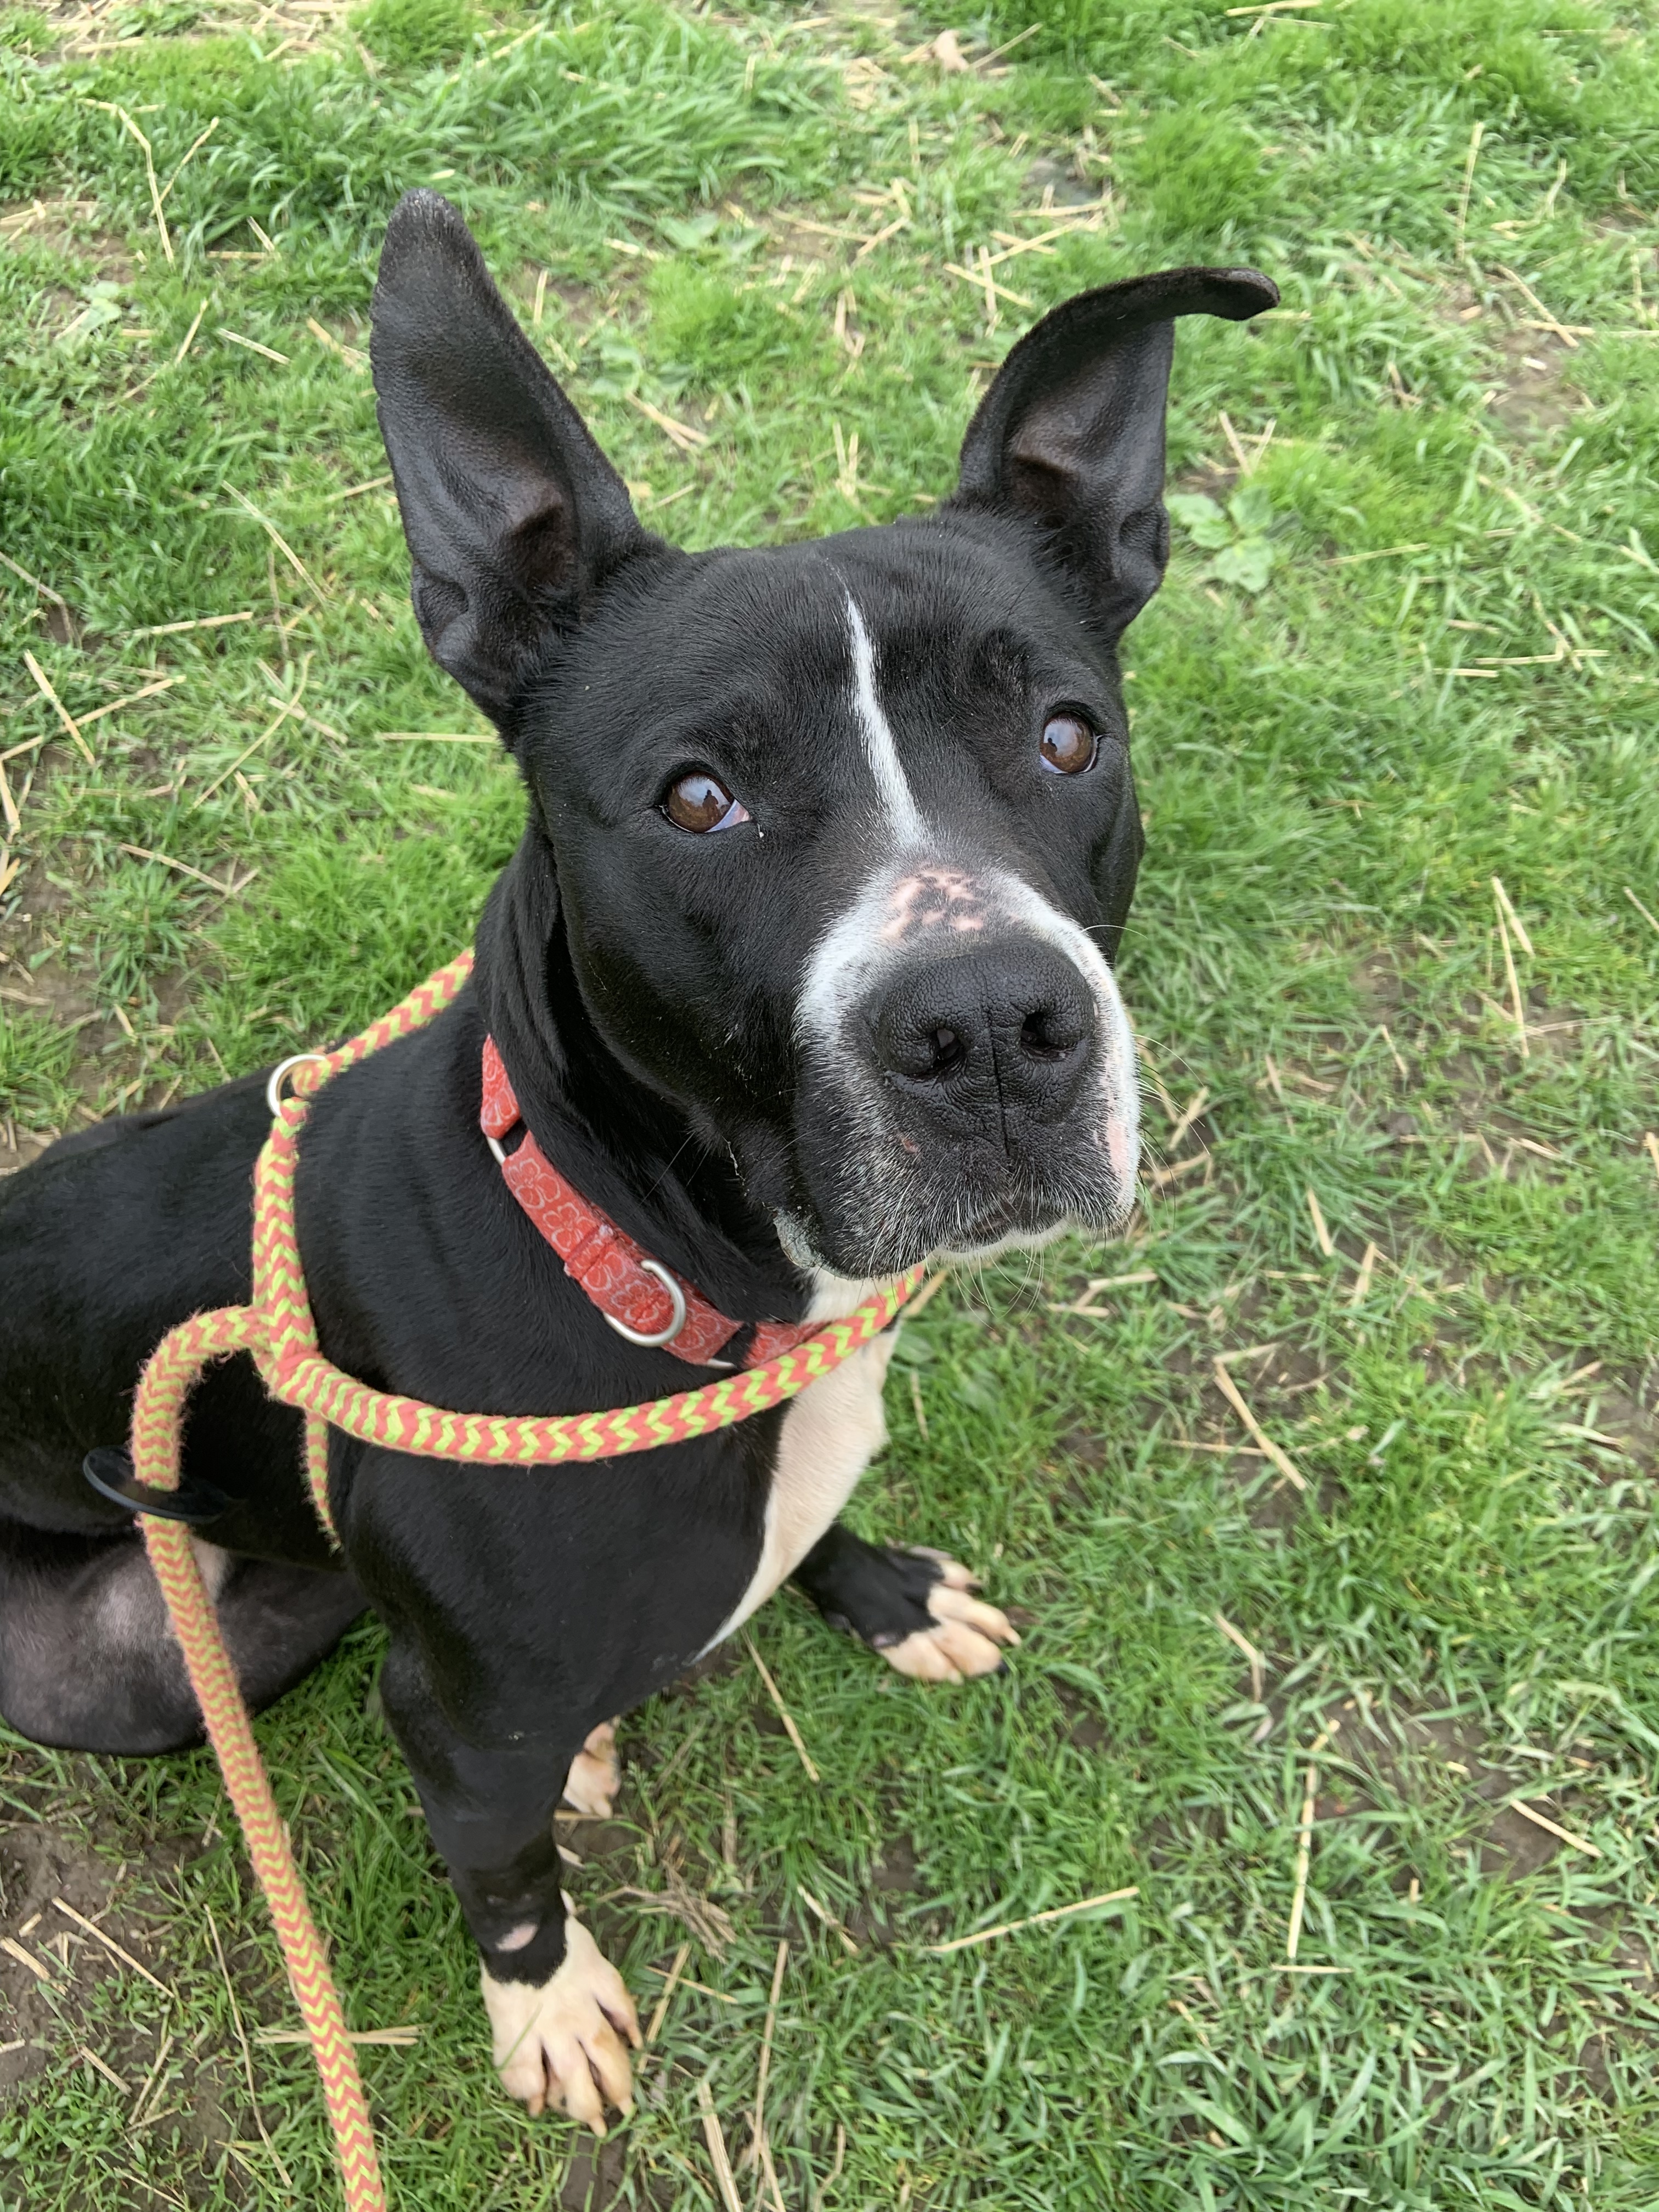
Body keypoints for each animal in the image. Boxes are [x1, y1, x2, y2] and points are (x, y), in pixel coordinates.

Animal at [0, 199, 1274, 2132]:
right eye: (696, 799)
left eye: (1069, 735)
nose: (992, 1024)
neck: (660, 1269)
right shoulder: (457, 1729)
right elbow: (503, 1871)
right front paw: (546, 2007)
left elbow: (816, 1524)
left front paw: (881, 1592)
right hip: (131, 1685)